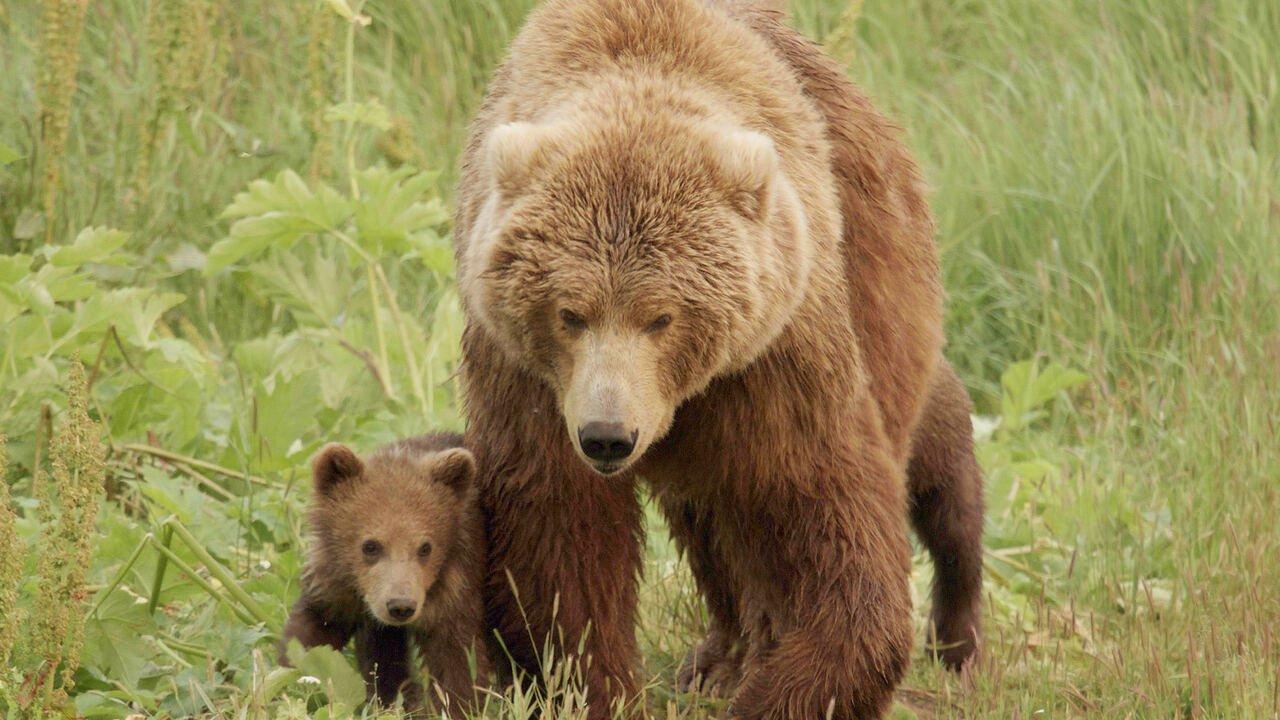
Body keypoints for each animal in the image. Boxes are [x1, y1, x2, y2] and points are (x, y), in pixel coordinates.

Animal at [455, 2, 983, 712]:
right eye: (570, 312)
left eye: (662, 315)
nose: (607, 436)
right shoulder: (527, 379)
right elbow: (558, 536)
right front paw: (597, 686)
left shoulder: (776, 355)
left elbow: (828, 513)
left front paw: (784, 689)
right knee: (709, 523)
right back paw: (719, 655)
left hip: (887, 295)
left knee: (937, 457)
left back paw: (956, 634)